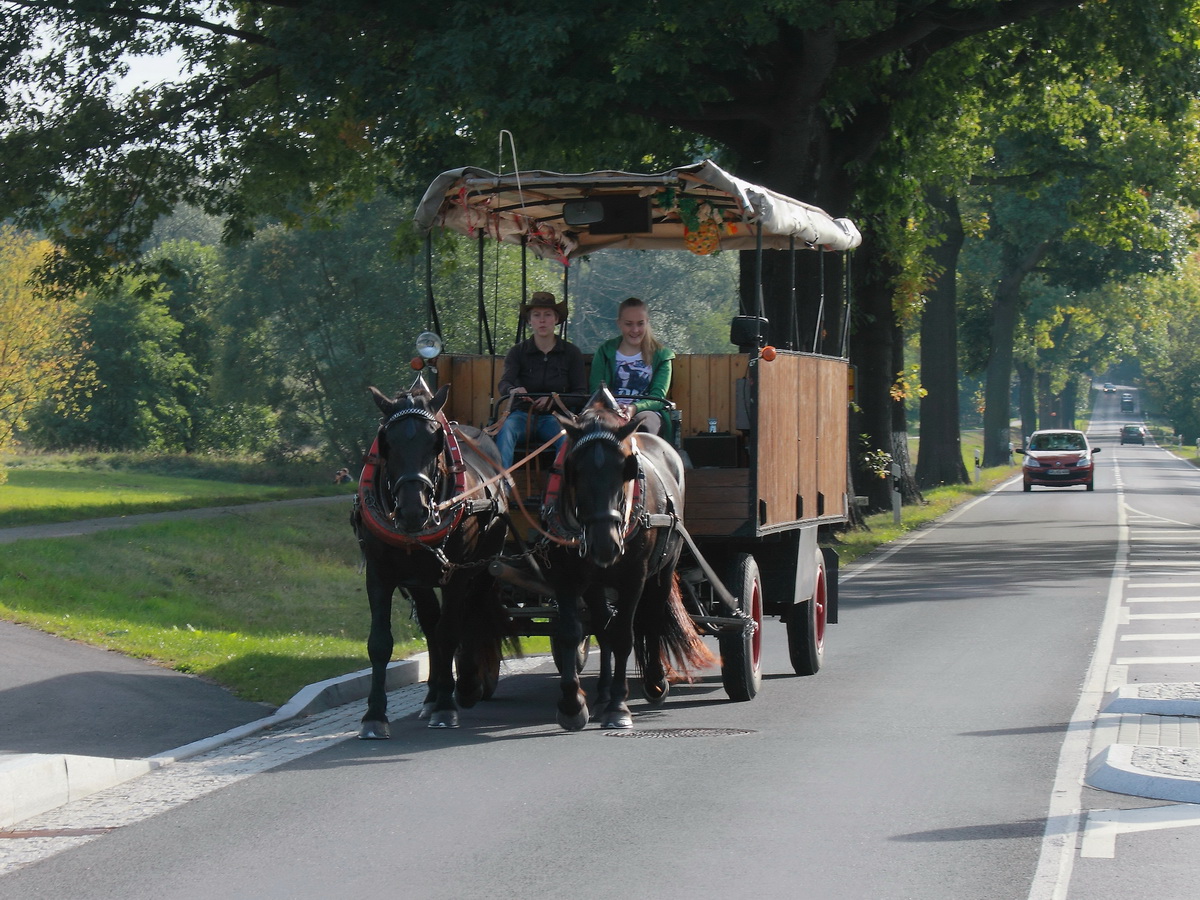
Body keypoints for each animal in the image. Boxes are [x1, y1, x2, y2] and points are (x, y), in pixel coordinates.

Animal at [350, 376, 511, 734]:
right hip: (420, 580)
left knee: (470, 615)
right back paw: (433, 694)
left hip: (483, 567)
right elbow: (380, 643)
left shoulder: (457, 573)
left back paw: (465, 685)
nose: (413, 511)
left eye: (436, 443)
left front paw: (447, 708)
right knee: (430, 623)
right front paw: (374, 715)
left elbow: (450, 632)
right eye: (386, 443)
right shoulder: (380, 573)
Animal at [544, 391, 710, 729]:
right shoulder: (566, 575)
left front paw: (619, 707)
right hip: (597, 584)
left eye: (626, 470)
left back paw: (654, 683)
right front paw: (572, 705)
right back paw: (602, 694)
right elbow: (572, 631)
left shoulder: (635, 576)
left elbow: (624, 634)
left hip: (662, 572)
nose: (605, 545)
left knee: (652, 620)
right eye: (573, 470)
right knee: (602, 627)